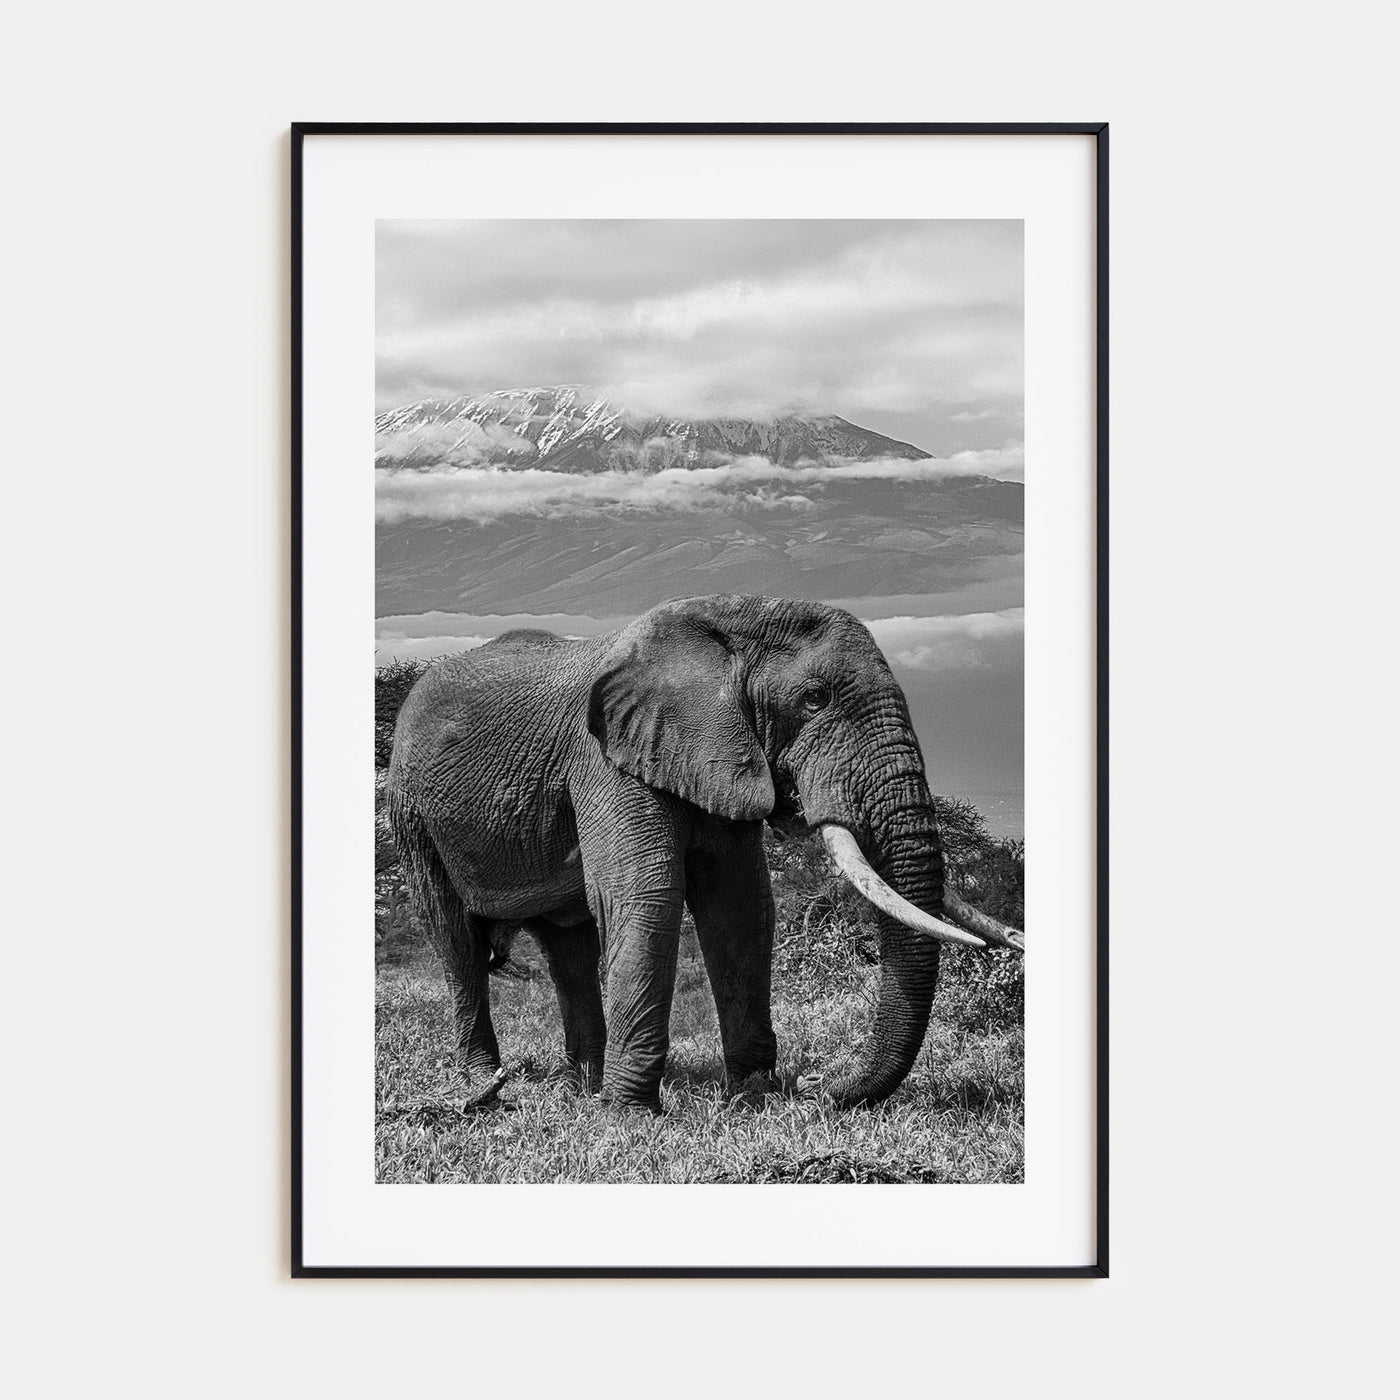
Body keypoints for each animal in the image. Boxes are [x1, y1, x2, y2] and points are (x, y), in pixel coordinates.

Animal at [387, 593, 1023, 1112]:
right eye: (814, 699)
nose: (818, 1086)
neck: (728, 622)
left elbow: (739, 906)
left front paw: (752, 1098)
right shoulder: (605, 760)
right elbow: (647, 897)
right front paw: (633, 1118)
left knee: (568, 946)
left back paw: (584, 1088)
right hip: (412, 813)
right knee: (455, 939)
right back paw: (488, 1085)